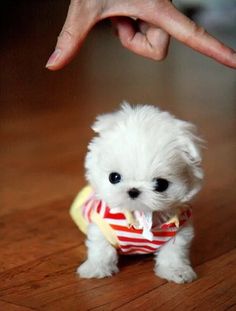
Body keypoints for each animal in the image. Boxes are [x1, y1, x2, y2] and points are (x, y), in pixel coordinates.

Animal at [75, 103, 203, 284]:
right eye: (114, 177)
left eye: (161, 184)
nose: (133, 190)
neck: (140, 214)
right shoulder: (101, 227)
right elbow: (101, 249)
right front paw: (96, 268)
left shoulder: (179, 231)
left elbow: (174, 253)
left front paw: (176, 271)